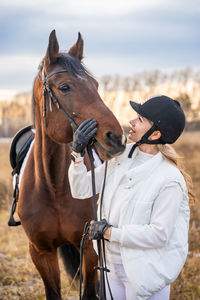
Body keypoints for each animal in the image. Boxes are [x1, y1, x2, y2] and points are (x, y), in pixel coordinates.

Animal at [17, 28, 126, 300]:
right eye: (65, 87)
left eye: (95, 85)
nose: (116, 137)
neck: (53, 185)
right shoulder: (41, 252)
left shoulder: (88, 247)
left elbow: (89, 292)